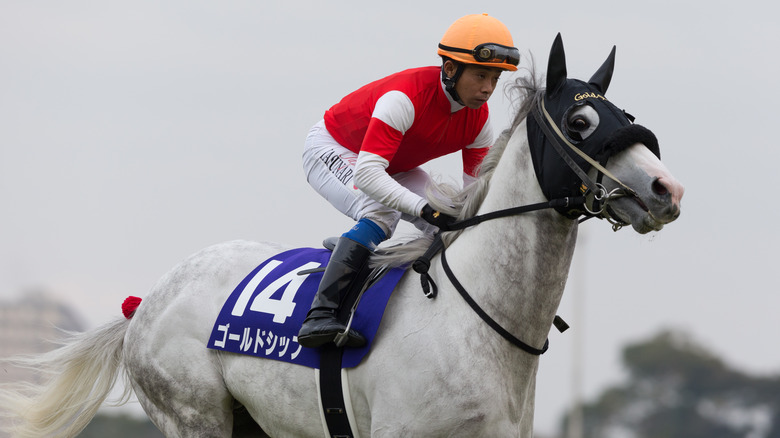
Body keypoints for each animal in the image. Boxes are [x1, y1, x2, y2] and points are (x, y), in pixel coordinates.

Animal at [0, 35, 684, 438]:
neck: (475, 324)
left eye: (624, 115)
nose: (666, 190)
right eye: (581, 120)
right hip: (194, 416)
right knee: (372, 212)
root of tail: (147, 300)